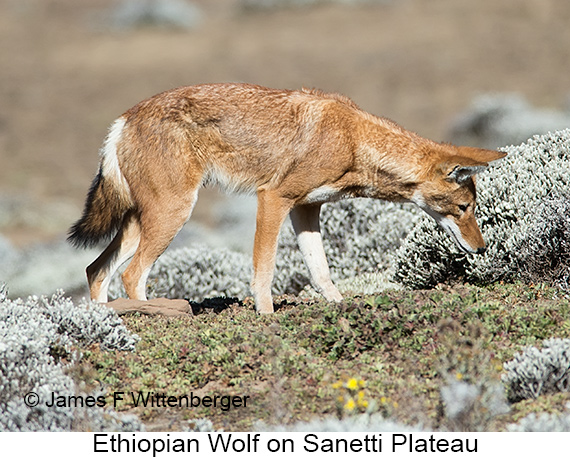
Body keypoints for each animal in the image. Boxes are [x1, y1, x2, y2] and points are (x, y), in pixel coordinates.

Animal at [69, 83, 504, 314]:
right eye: (464, 209)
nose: (482, 248)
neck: (354, 141)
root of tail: (124, 119)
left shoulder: (307, 209)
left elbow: (321, 270)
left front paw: (338, 305)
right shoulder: (273, 198)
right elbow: (265, 269)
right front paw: (265, 314)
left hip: (141, 223)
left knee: (96, 270)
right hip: (172, 216)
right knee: (130, 275)